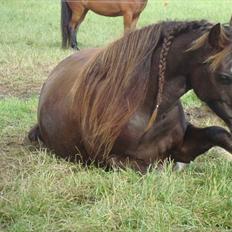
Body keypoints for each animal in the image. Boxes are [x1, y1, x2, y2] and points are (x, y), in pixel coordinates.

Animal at [29, 19, 232, 172]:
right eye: (224, 77)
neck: (149, 111)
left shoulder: (181, 147)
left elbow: (219, 133)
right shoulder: (113, 159)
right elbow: (156, 170)